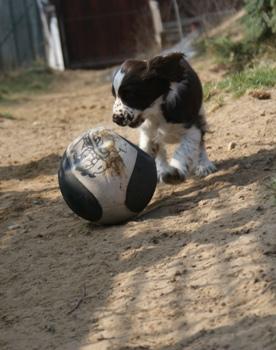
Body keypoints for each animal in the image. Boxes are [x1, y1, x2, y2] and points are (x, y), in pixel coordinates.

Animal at [111, 52, 216, 183]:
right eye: (114, 95)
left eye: (129, 95)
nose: (115, 119)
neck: (157, 111)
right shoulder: (148, 132)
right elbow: (147, 149)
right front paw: (162, 170)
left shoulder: (192, 129)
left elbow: (184, 149)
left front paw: (177, 169)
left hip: (200, 113)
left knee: (201, 143)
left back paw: (204, 165)